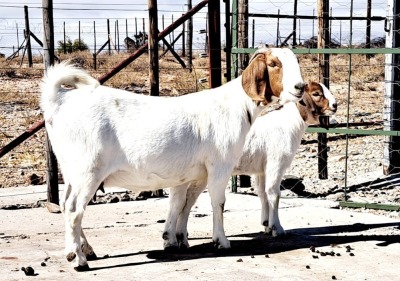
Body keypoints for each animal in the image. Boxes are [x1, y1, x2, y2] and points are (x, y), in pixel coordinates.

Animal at [40, 47, 304, 270]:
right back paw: (77, 258)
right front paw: (221, 241)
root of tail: (59, 102)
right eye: (273, 63)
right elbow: (218, 202)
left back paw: (87, 249)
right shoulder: (219, 165)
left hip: (71, 170)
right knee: (74, 208)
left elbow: (181, 204)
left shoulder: (193, 174)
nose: (300, 87)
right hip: (88, 170)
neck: (236, 106)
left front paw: (175, 239)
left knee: (66, 204)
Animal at [166, 81, 338, 249]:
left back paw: (178, 238)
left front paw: (266, 224)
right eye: (316, 93)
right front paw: (277, 229)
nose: (335, 105)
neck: (289, 125)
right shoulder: (276, 163)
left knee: (185, 200)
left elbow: (262, 193)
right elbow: (274, 194)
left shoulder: (261, 170)